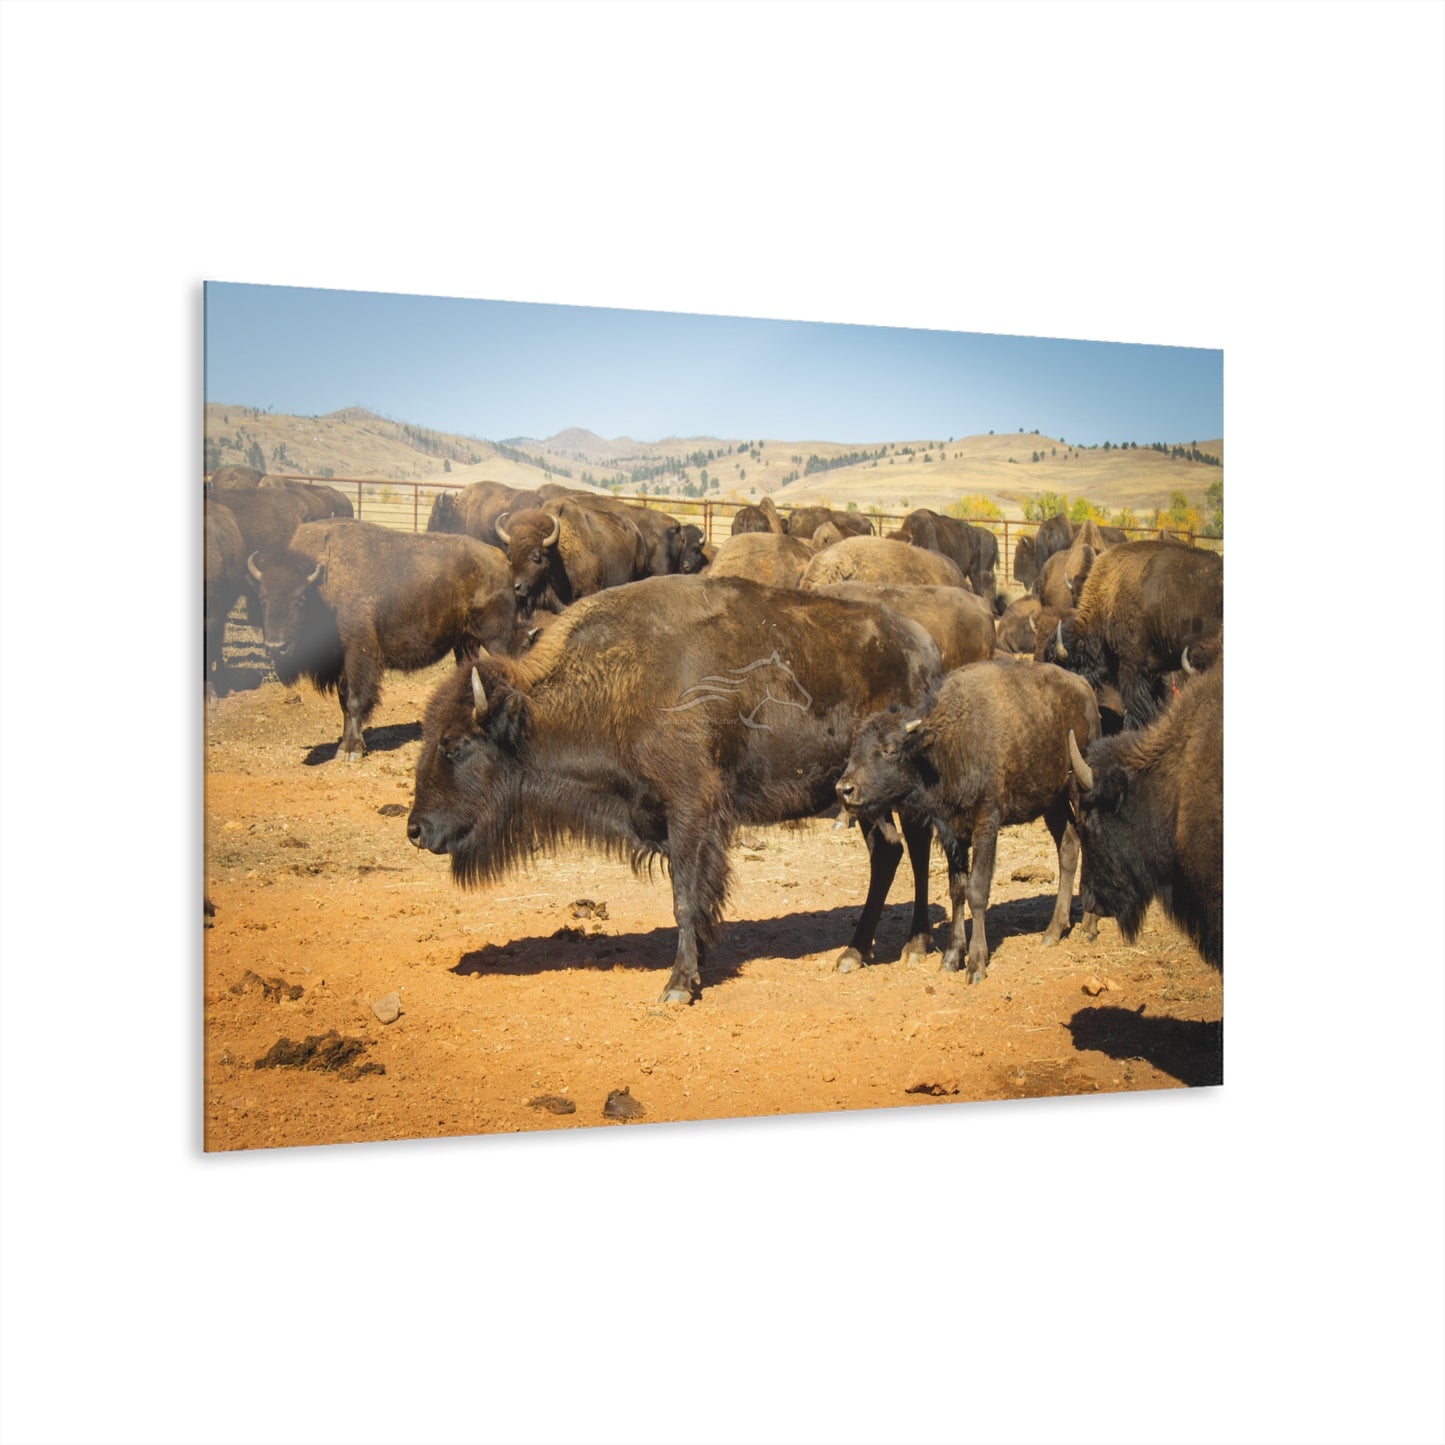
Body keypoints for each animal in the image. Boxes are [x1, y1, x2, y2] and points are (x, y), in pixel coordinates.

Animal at [246, 519, 517, 760]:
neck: (325, 580)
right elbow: (343, 702)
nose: (276, 647)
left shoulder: (359, 654)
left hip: (497, 639)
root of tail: (500, 558)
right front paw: (346, 746)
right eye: (262, 598)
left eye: (300, 599)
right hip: (465, 643)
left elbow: (354, 700)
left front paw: (352, 750)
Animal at [407, 575, 944, 1003]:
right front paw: (697, 964)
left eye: (454, 744)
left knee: (914, 848)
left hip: (900, 792)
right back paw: (856, 952)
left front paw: (679, 985)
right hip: (863, 796)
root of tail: (927, 647)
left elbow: (685, 897)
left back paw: (913, 947)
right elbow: (694, 898)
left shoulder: (691, 811)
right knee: (890, 851)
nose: (416, 829)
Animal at [836, 662, 1102, 982]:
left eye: (889, 750)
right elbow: (957, 890)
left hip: (1079, 788)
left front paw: (976, 964)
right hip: (1053, 801)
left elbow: (977, 890)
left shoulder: (986, 824)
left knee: (1090, 843)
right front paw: (952, 957)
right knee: (1069, 847)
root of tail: (1084, 687)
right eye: (854, 750)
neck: (948, 744)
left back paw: (1088, 926)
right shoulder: (953, 832)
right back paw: (1053, 931)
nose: (844, 789)